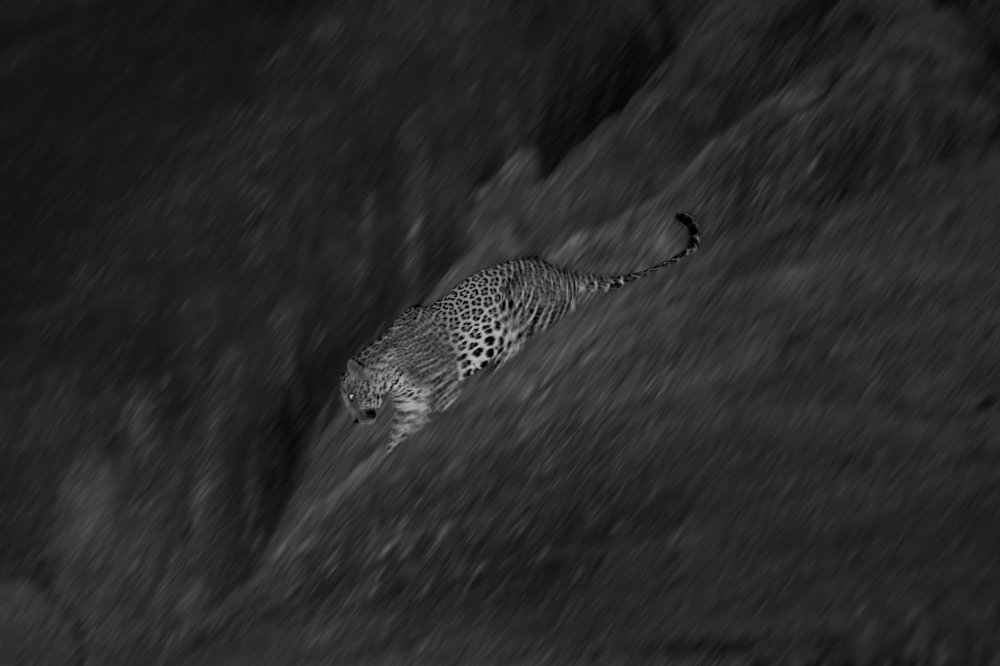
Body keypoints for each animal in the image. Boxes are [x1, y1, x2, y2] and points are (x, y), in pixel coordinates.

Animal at [340, 211, 700, 452]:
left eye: (352, 396)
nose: (356, 421)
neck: (390, 375)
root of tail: (563, 272)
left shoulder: (442, 388)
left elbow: (436, 412)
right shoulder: (408, 410)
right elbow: (396, 440)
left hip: (520, 299)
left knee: (543, 325)